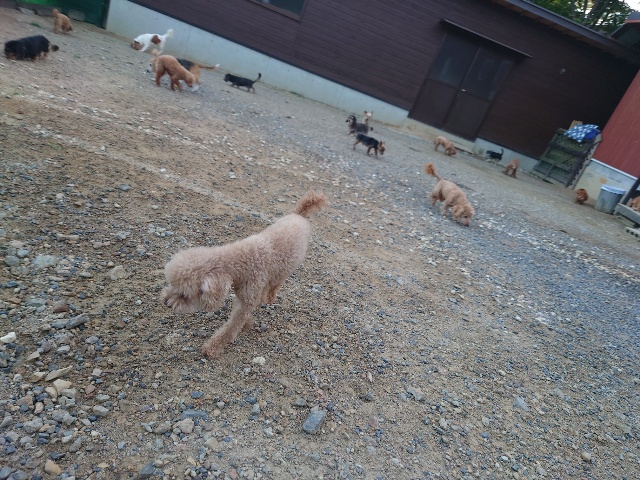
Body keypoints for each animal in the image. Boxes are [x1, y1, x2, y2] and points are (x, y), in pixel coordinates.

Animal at [161, 190, 327, 359]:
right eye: (171, 284)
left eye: (184, 295)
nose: (165, 302)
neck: (240, 262)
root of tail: (299, 214)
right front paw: (247, 323)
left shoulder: (246, 301)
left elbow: (231, 327)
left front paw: (213, 347)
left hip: (285, 269)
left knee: (275, 284)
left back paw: (270, 297)